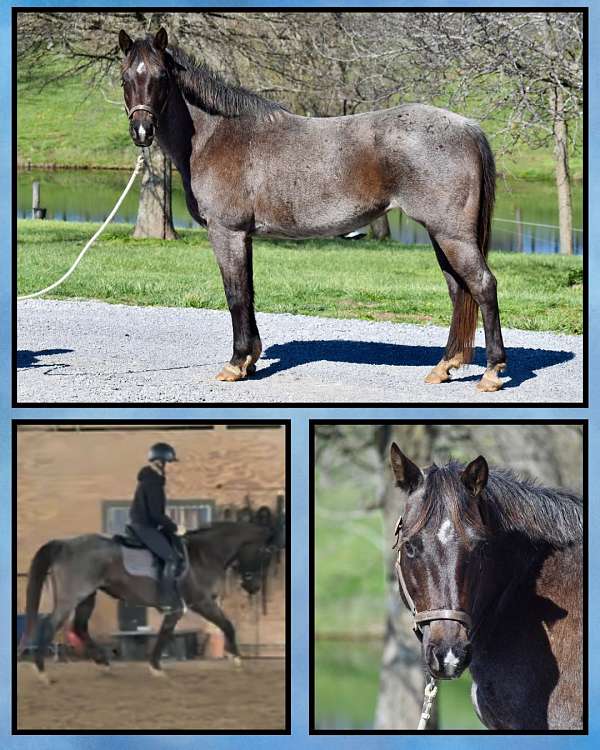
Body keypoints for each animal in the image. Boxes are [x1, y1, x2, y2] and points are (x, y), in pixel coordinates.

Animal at [20, 521, 276, 680]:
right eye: (265, 553)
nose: (254, 587)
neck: (203, 555)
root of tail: (64, 544)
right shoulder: (201, 602)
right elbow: (227, 625)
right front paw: (237, 659)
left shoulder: (178, 609)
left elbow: (165, 633)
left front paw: (155, 666)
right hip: (72, 596)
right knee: (50, 624)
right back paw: (41, 671)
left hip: (87, 596)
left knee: (79, 627)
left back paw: (103, 663)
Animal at [117, 28, 506, 393]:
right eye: (124, 78)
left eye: (161, 77)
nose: (142, 130)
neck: (216, 136)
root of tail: (468, 127)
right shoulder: (244, 237)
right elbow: (249, 292)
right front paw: (250, 360)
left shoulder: (227, 232)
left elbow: (236, 295)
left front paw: (236, 363)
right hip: (441, 235)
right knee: (458, 290)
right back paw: (445, 366)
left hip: (451, 234)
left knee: (482, 285)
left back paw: (492, 372)